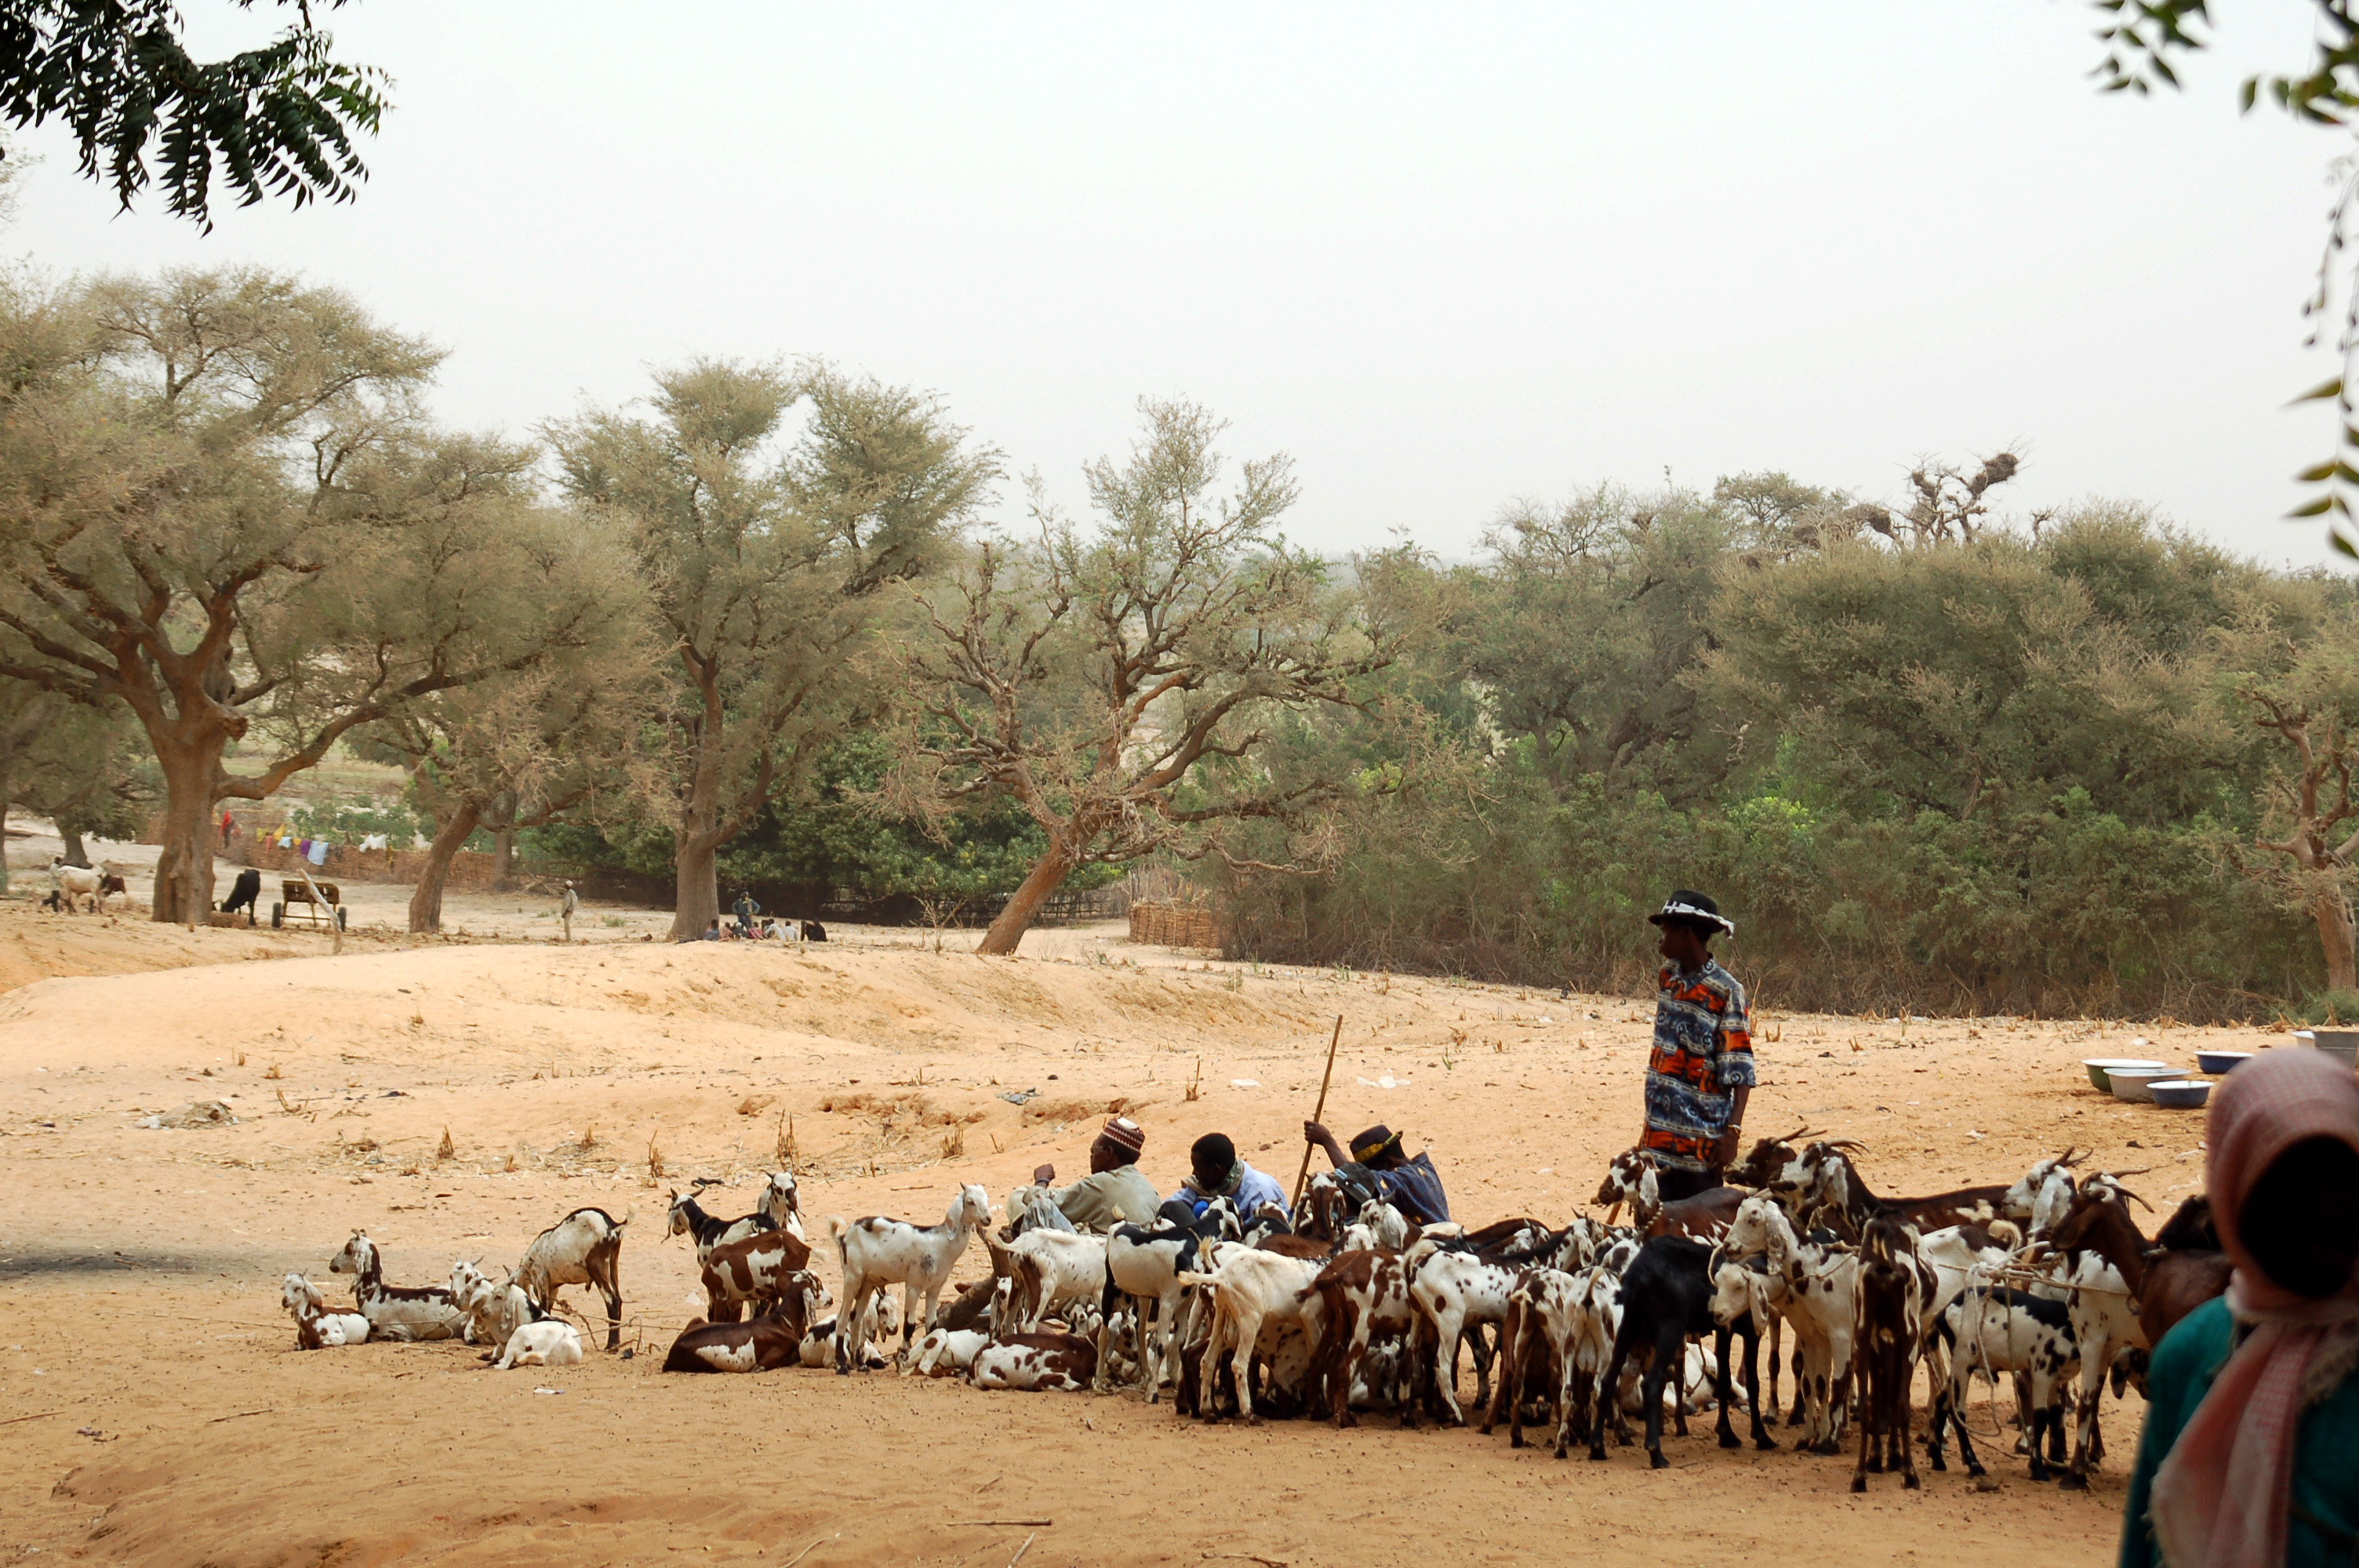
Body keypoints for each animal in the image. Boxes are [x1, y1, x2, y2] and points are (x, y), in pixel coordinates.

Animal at [825, 1188, 990, 1367]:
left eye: (986, 1198)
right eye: (970, 1201)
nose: (988, 1219)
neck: (942, 1244)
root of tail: (843, 1236)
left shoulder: (935, 1288)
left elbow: (932, 1325)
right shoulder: (913, 1286)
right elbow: (909, 1325)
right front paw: (903, 1357)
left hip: (867, 1283)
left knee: (856, 1318)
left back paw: (860, 1364)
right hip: (852, 1277)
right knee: (842, 1317)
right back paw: (842, 1363)